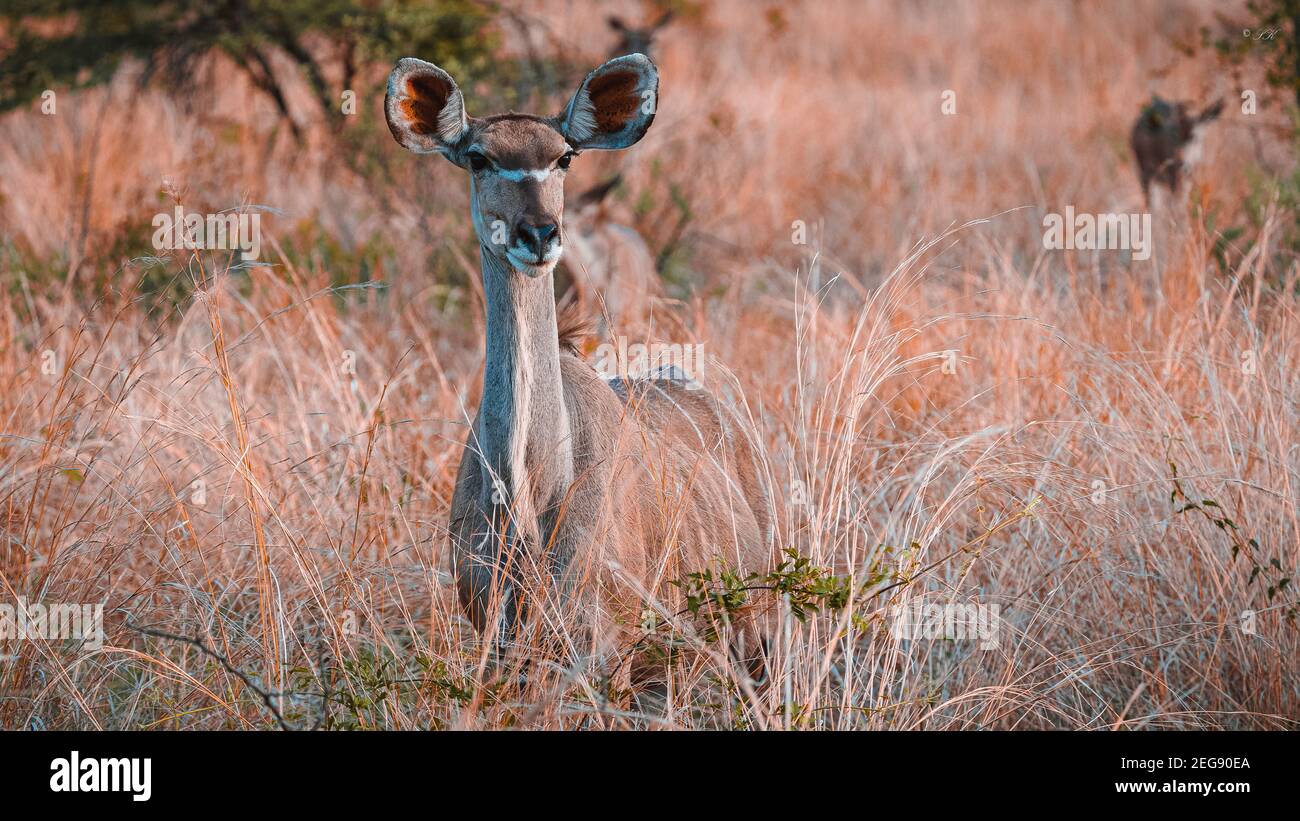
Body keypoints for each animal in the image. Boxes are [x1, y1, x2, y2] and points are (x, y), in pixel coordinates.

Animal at [379, 51, 774, 691]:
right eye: (478, 157)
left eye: (564, 156)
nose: (539, 234)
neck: (531, 489)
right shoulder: (498, 640)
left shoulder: (598, 647)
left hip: (757, 638)